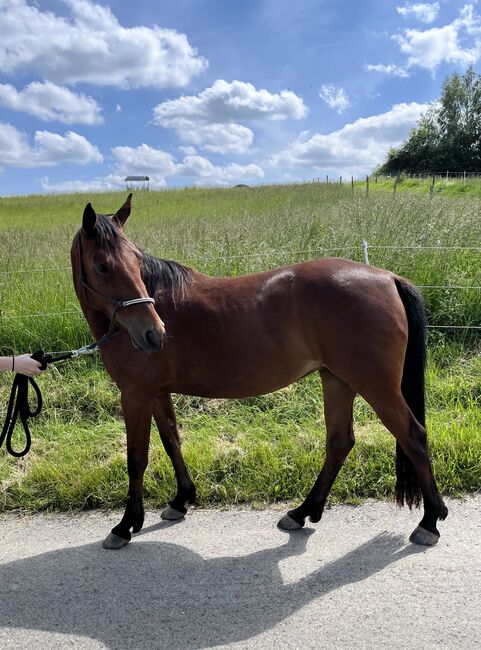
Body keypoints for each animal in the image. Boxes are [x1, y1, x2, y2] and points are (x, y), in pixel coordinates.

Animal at [70, 196, 446, 548]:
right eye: (103, 266)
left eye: (135, 261)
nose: (154, 334)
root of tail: (389, 278)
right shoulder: (157, 392)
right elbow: (172, 441)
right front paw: (181, 500)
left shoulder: (135, 394)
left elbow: (136, 458)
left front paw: (125, 525)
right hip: (337, 380)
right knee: (340, 441)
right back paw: (303, 511)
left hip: (376, 386)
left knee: (413, 437)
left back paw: (429, 521)